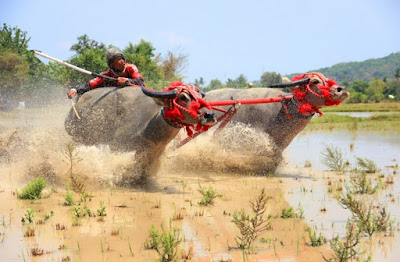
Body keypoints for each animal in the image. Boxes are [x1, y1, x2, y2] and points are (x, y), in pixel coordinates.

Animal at [65, 82, 216, 184]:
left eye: (199, 95)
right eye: (183, 97)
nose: (209, 115)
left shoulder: (154, 155)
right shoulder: (119, 148)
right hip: (80, 138)